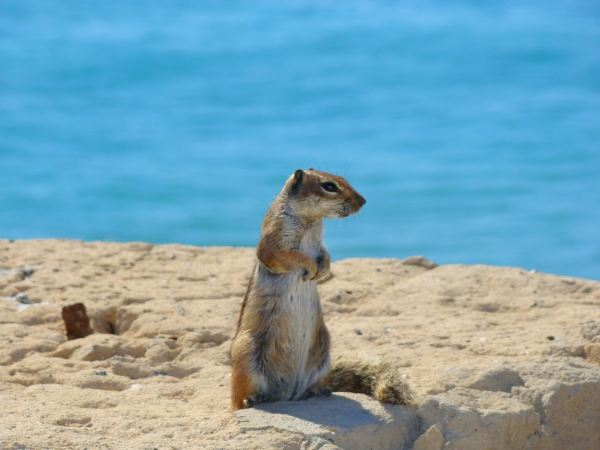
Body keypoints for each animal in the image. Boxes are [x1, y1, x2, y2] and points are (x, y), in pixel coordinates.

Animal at [230, 169, 412, 412]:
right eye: (329, 186)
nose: (363, 201)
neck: (312, 221)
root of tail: (287, 394)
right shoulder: (275, 239)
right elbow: (285, 255)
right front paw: (311, 267)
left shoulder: (320, 243)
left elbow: (325, 253)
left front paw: (323, 268)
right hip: (246, 353)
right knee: (241, 397)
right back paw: (254, 398)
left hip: (323, 349)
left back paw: (317, 391)